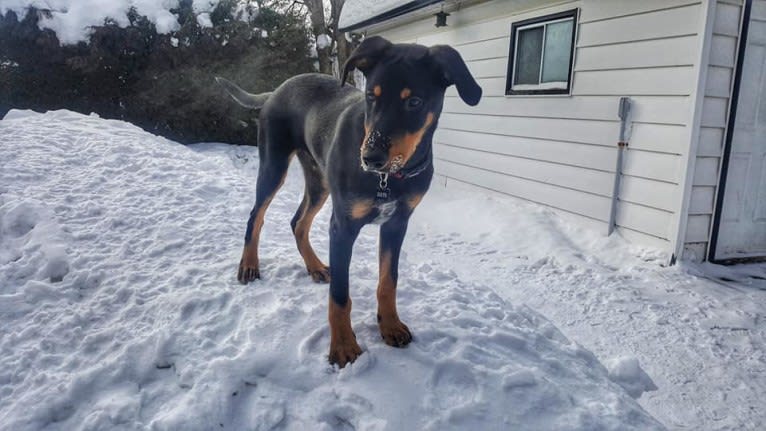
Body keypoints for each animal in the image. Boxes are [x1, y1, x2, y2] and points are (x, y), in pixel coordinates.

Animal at [218, 36, 480, 368]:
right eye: (371, 96)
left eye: (414, 102)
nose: (370, 158)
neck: (390, 178)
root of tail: (276, 89)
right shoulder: (343, 225)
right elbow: (340, 295)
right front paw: (343, 347)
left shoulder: (397, 223)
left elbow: (388, 280)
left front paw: (390, 325)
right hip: (274, 164)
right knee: (257, 215)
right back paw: (249, 265)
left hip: (319, 182)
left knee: (298, 221)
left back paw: (315, 266)